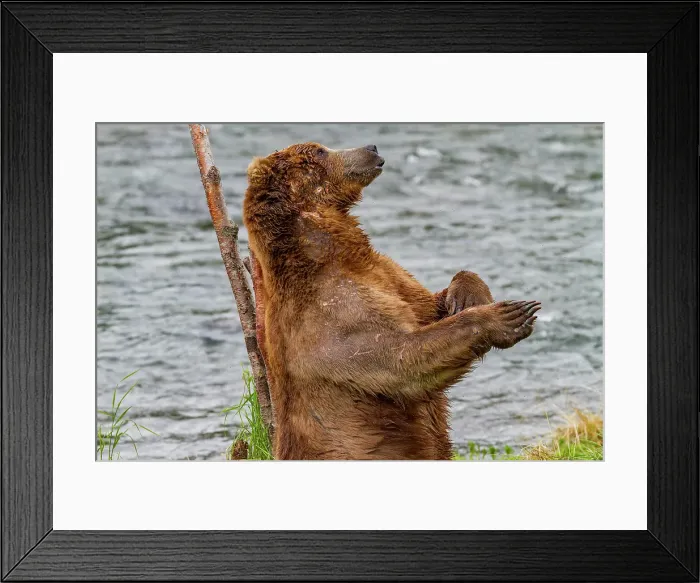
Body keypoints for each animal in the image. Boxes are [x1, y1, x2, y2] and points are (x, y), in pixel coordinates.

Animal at [243, 142, 540, 460]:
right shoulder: (334, 314)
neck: (329, 253)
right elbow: (398, 358)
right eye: (321, 151)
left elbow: (428, 305)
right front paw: (508, 316)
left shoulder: (389, 278)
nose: (371, 147)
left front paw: (465, 297)